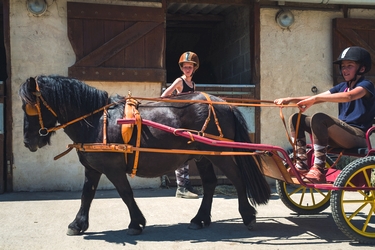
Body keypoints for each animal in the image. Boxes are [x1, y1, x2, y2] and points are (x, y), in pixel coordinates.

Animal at [19, 75, 270, 235]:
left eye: (28, 106)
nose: (28, 141)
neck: (97, 121)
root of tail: (224, 103)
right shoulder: (92, 168)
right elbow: (86, 195)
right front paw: (78, 224)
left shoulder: (112, 169)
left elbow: (125, 193)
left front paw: (136, 223)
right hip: (202, 156)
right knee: (209, 184)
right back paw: (199, 220)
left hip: (219, 154)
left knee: (237, 179)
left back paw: (248, 215)